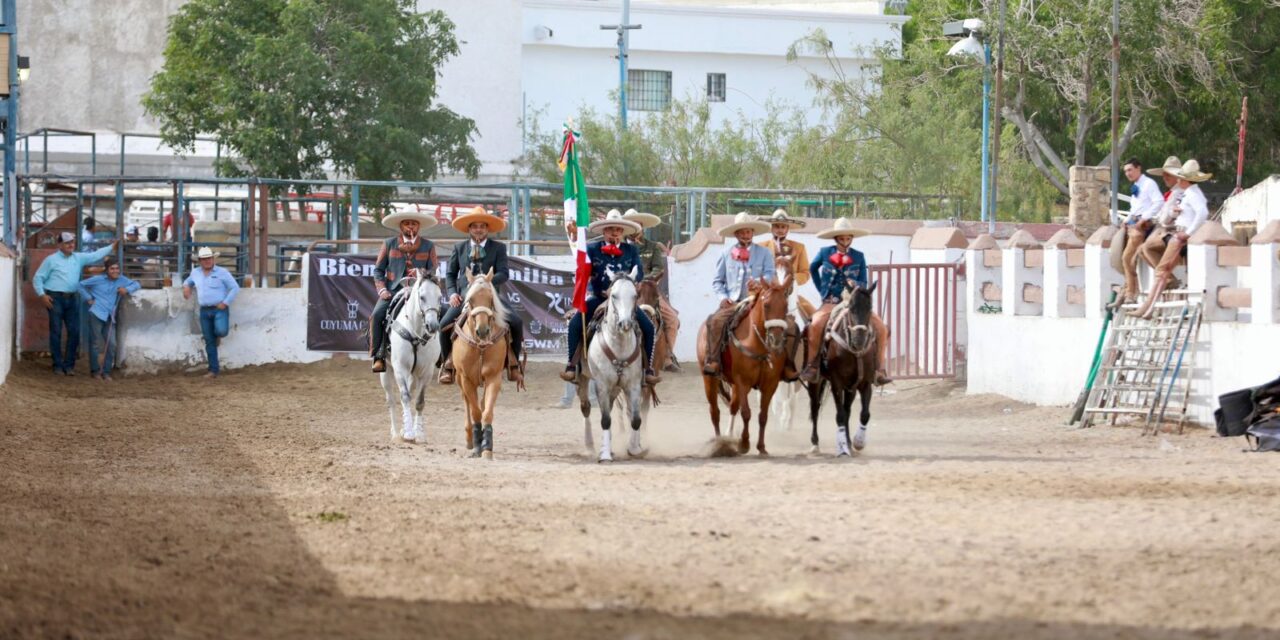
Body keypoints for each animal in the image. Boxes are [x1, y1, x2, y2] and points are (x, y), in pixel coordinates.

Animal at [376, 272, 442, 442]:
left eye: (440, 297)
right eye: (422, 297)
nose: (433, 326)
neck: (415, 334)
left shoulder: (426, 372)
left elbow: (419, 401)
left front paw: (419, 433)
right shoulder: (400, 368)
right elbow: (404, 397)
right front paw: (408, 433)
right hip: (385, 372)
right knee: (391, 400)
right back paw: (395, 432)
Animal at [450, 268, 509, 460]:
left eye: (491, 299)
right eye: (470, 300)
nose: (482, 331)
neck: (480, 347)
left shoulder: (493, 378)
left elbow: (486, 412)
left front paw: (487, 448)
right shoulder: (466, 379)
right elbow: (475, 411)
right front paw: (477, 446)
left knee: (482, 404)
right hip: (460, 380)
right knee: (468, 403)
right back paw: (470, 439)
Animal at [581, 267, 650, 463]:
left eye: (635, 295)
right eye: (614, 295)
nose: (625, 323)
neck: (618, 345)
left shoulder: (633, 385)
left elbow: (635, 418)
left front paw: (634, 449)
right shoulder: (602, 385)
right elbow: (605, 420)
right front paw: (604, 455)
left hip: (617, 388)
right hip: (583, 378)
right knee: (586, 408)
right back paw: (591, 446)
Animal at [701, 272, 788, 458]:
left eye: (785, 306)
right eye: (767, 305)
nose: (776, 340)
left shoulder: (770, 385)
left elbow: (763, 416)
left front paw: (761, 447)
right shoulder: (742, 382)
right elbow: (746, 413)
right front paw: (744, 443)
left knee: (733, 407)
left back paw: (728, 437)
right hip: (709, 379)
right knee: (715, 412)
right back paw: (720, 443)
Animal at [808, 279, 880, 455]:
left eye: (870, 308)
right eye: (851, 308)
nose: (859, 339)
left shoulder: (865, 383)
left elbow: (864, 414)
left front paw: (857, 442)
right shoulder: (836, 383)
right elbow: (839, 415)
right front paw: (842, 449)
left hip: (851, 388)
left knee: (847, 409)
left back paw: (847, 441)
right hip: (815, 382)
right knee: (815, 407)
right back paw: (815, 443)